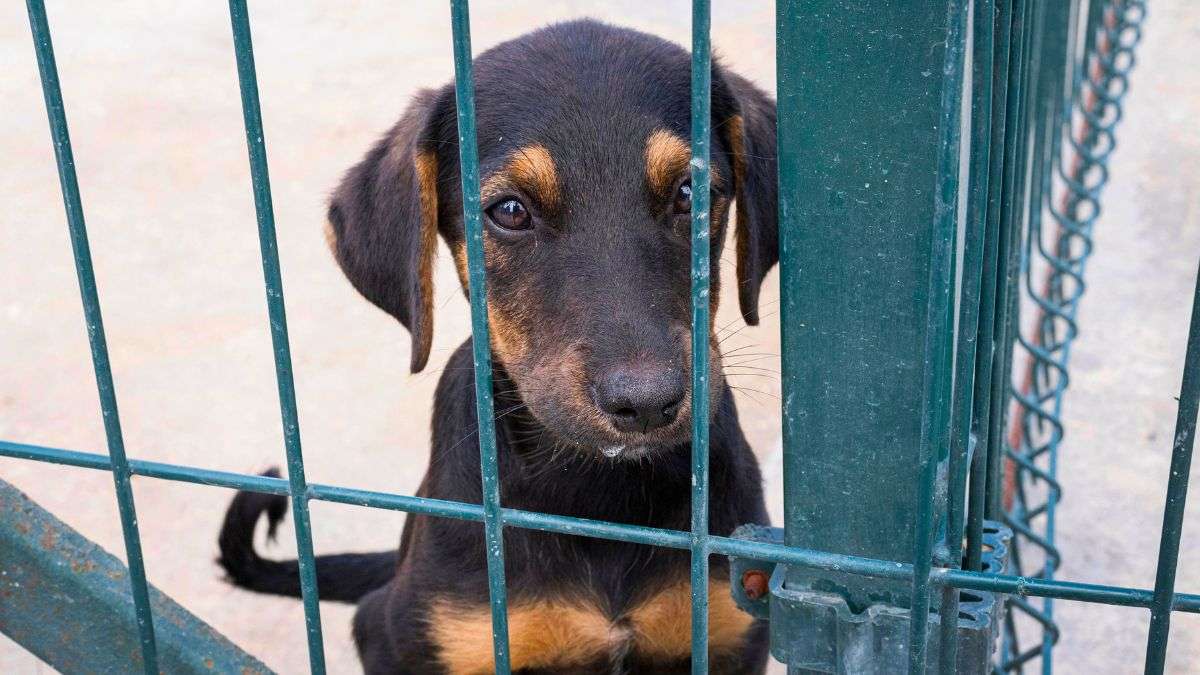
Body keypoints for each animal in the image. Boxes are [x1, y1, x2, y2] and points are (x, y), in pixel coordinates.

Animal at [217, 19, 778, 674]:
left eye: (692, 192)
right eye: (509, 211)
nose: (646, 404)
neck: (596, 491)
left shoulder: (728, 632)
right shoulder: (413, 632)